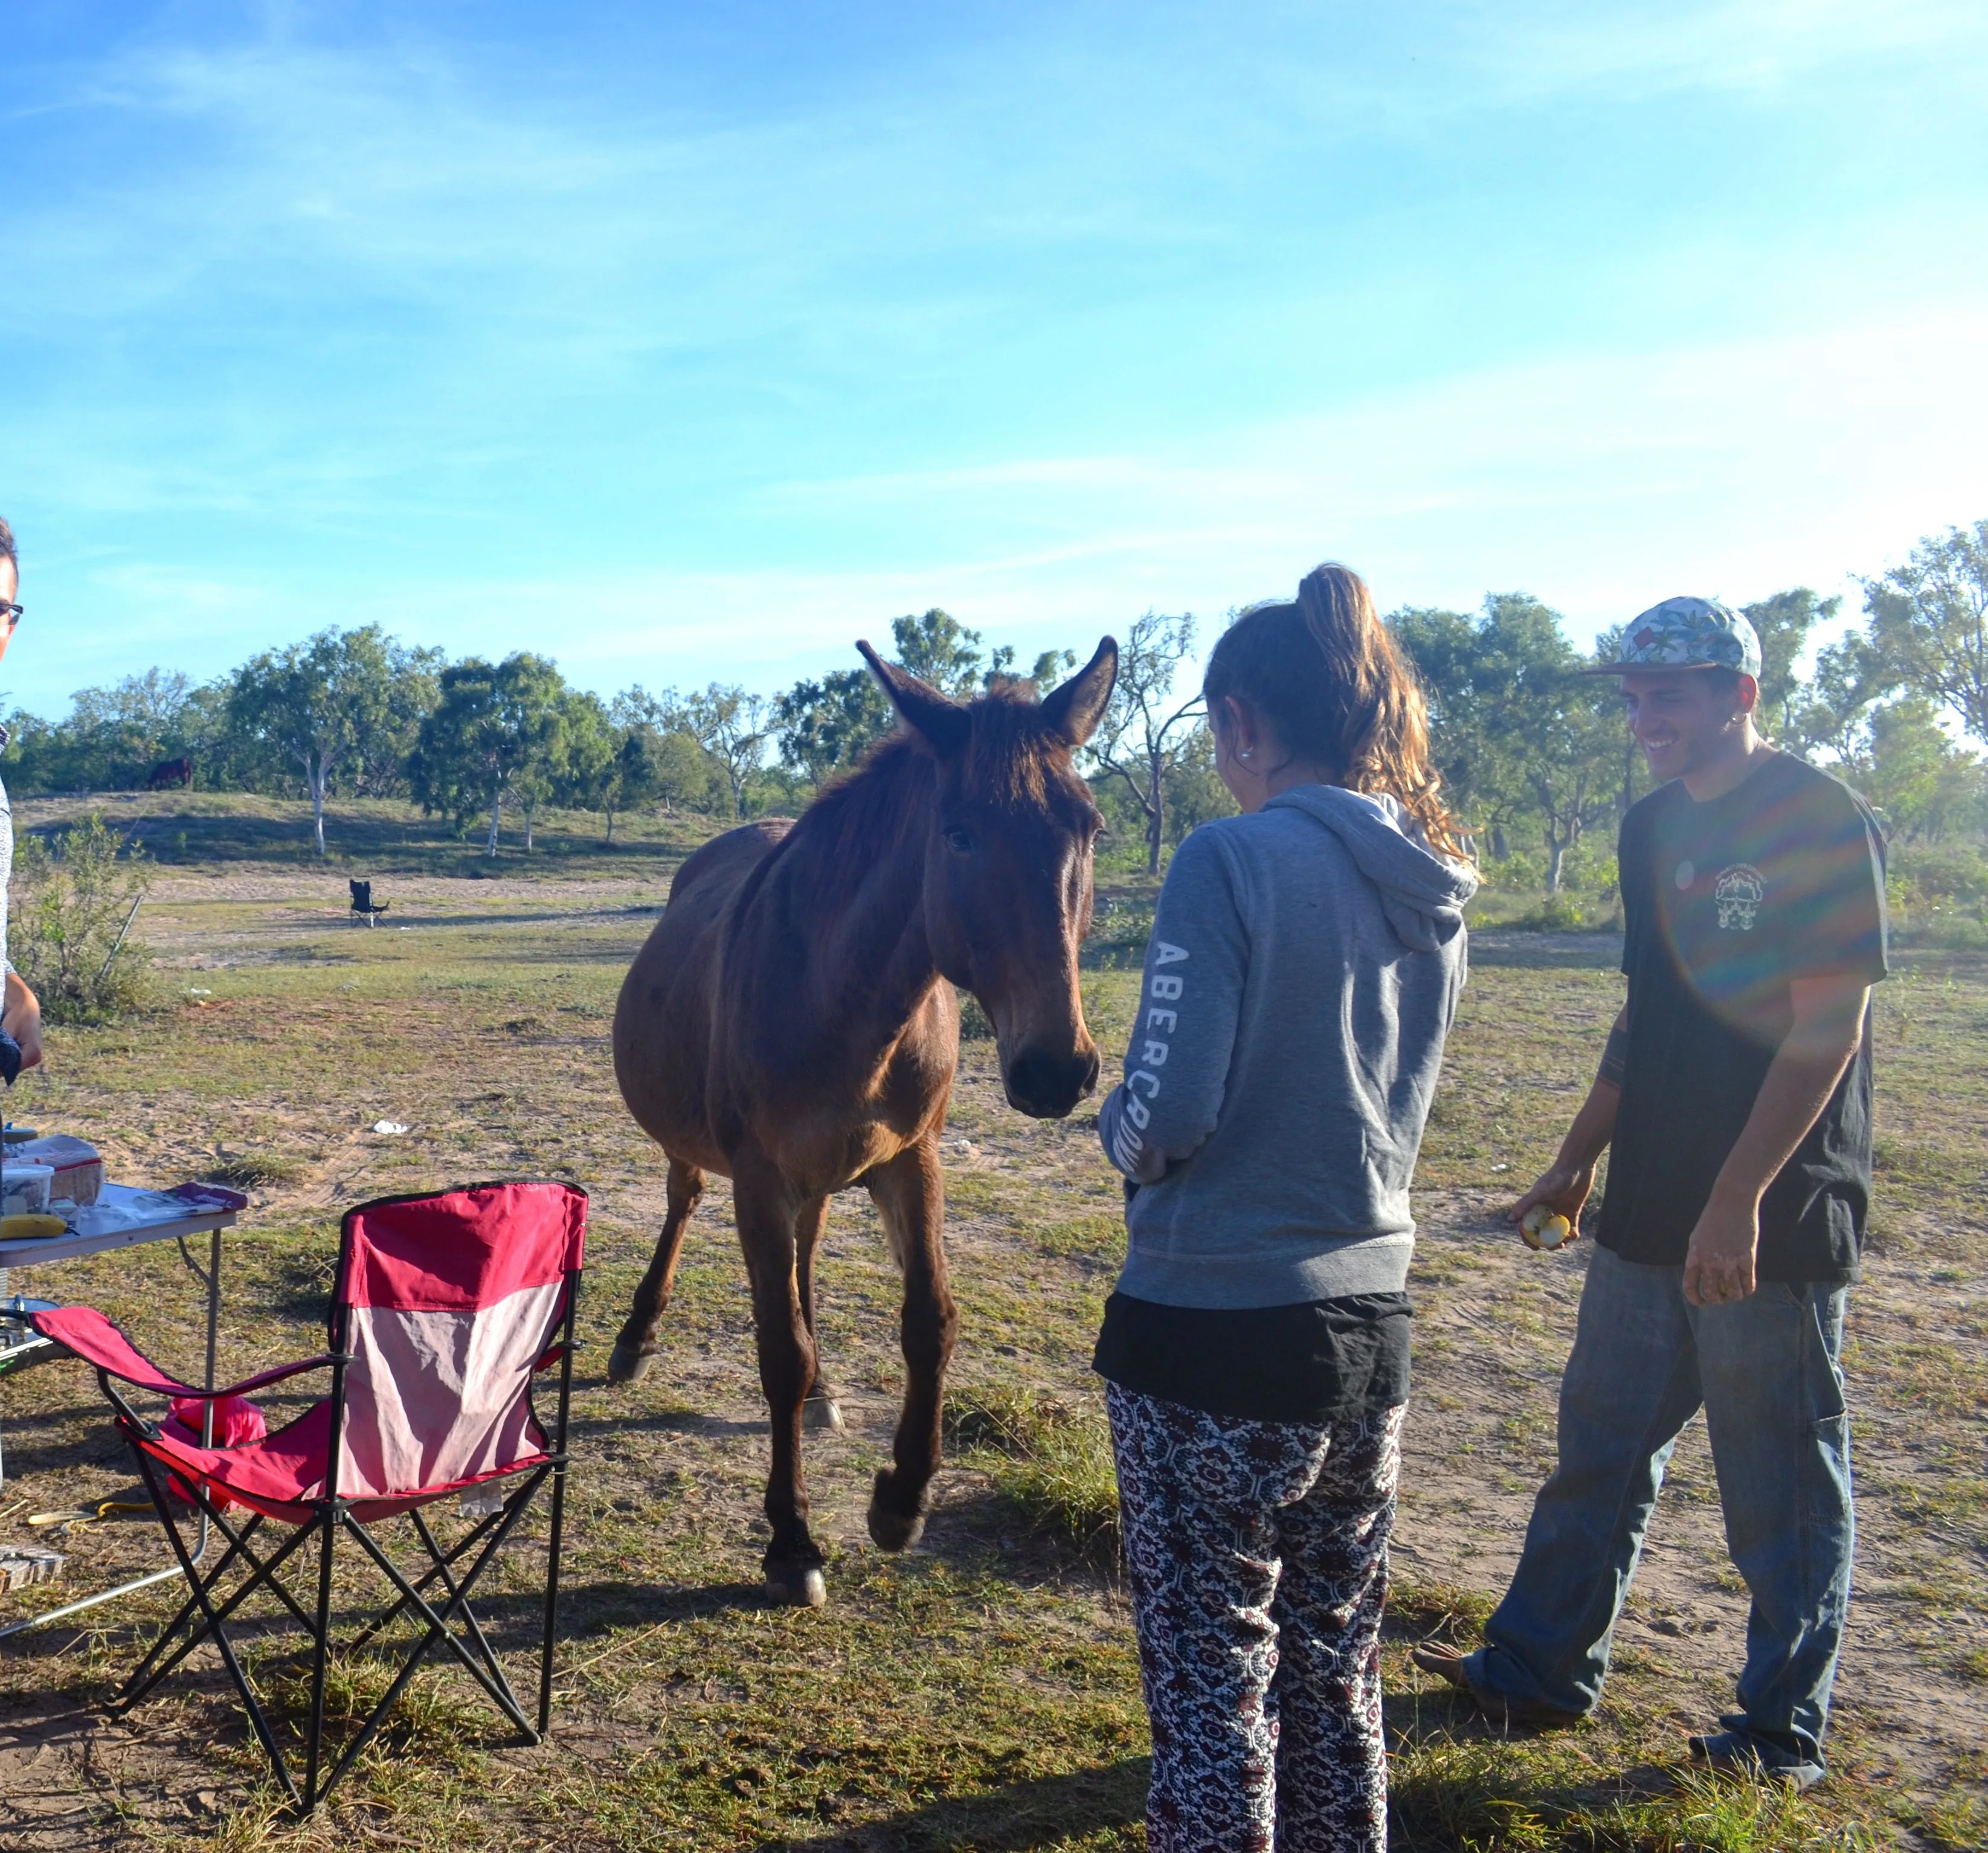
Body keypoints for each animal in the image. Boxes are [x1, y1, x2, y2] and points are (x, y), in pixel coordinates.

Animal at [608, 638, 1117, 1605]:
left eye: (1090, 828)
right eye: (957, 832)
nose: (1055, 1069)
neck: (841, 995)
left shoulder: (911, 1159)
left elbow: (930, 1320)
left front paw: (902, 1498)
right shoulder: (759, 1177)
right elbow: (779, 1350)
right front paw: (790, 1540)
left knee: (806, 1259)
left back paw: (824, 1395)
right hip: (706, 1154)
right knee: (683, 1202)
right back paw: (635, 1337)